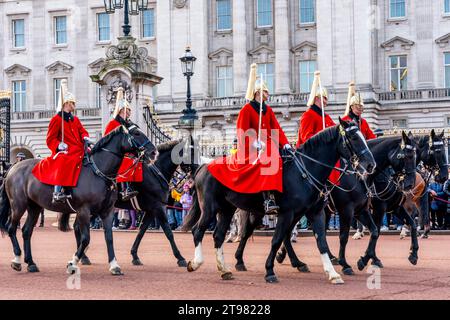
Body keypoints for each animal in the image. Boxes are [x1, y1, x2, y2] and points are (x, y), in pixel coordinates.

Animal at [0, 125, 157, 276]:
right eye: (136, 133)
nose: (154, 152)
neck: (99, 172)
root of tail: (13, 168)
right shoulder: (84, 210)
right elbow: (85, 238)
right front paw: (72, 263)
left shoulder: (107, 211)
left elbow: (109, 237)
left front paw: (114, 266)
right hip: (18, 205)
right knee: (11, 228)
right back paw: (17, 260)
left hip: (34, 207)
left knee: (26, 231)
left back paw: (31, 263)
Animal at [78, 138, 199, 268]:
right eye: (191, 153)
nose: (198, 169)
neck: (156, 171)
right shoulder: (159, 208)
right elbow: (168, 233)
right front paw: (180, 258)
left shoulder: (151, 211)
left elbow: (141, 232)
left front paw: (135, 256)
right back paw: (83, 256)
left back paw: (83, 256)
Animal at [183, 119, 376, 284]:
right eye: (353, 138)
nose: (370, 165)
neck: (305, 171)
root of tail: (204, 165)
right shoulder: (288, 213)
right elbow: (277, 240)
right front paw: (269, 271)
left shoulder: (315, 212)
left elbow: (321, 241)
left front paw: (333, 273)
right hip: (210, 208)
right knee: (198, 231)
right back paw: (196, 262)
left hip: (227, 209)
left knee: (219, 235)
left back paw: (225, 269)